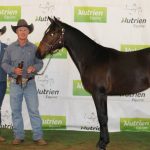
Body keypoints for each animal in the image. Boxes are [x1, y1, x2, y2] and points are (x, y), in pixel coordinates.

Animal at [36, 16, 150, 150]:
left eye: (52, 33)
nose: (38, 53)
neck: (92, 58)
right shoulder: (102, 95)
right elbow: (103, 116)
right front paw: (103, 141)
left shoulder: (98, 93)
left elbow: (101, 117)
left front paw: (102, 144)